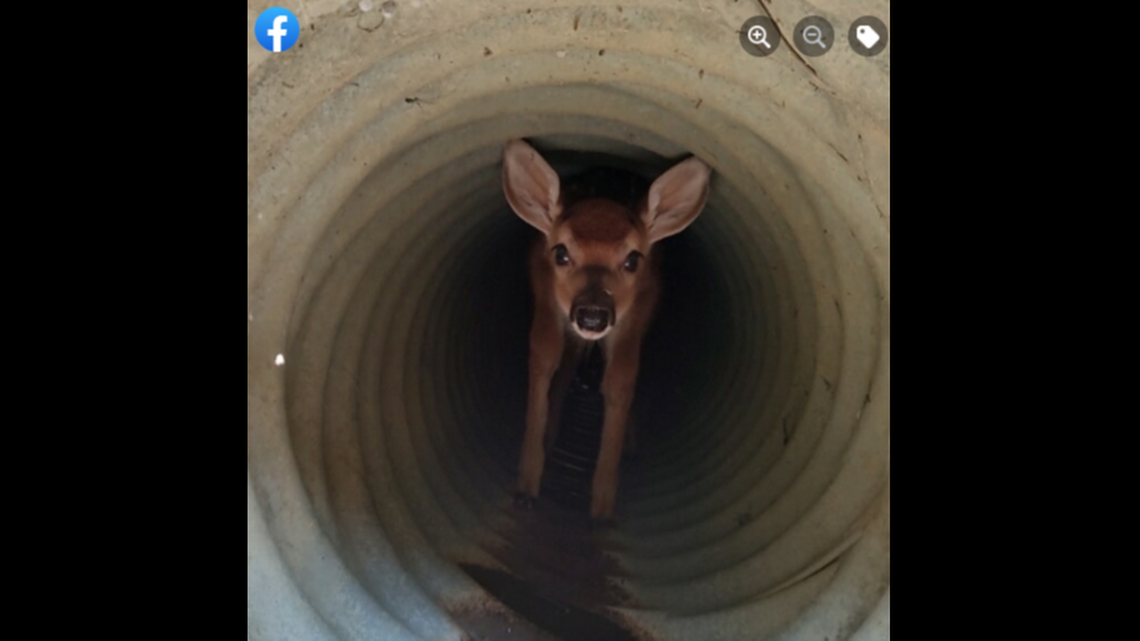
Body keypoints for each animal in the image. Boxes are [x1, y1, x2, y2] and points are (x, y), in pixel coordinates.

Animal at [502, 139, 712, 522]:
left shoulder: (635, 313)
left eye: (633, 259)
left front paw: (601, 508)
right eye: (560, 252)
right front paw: (527, 485)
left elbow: (620, 383)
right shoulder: (546, 296)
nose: (593, 315)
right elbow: (545, 359)